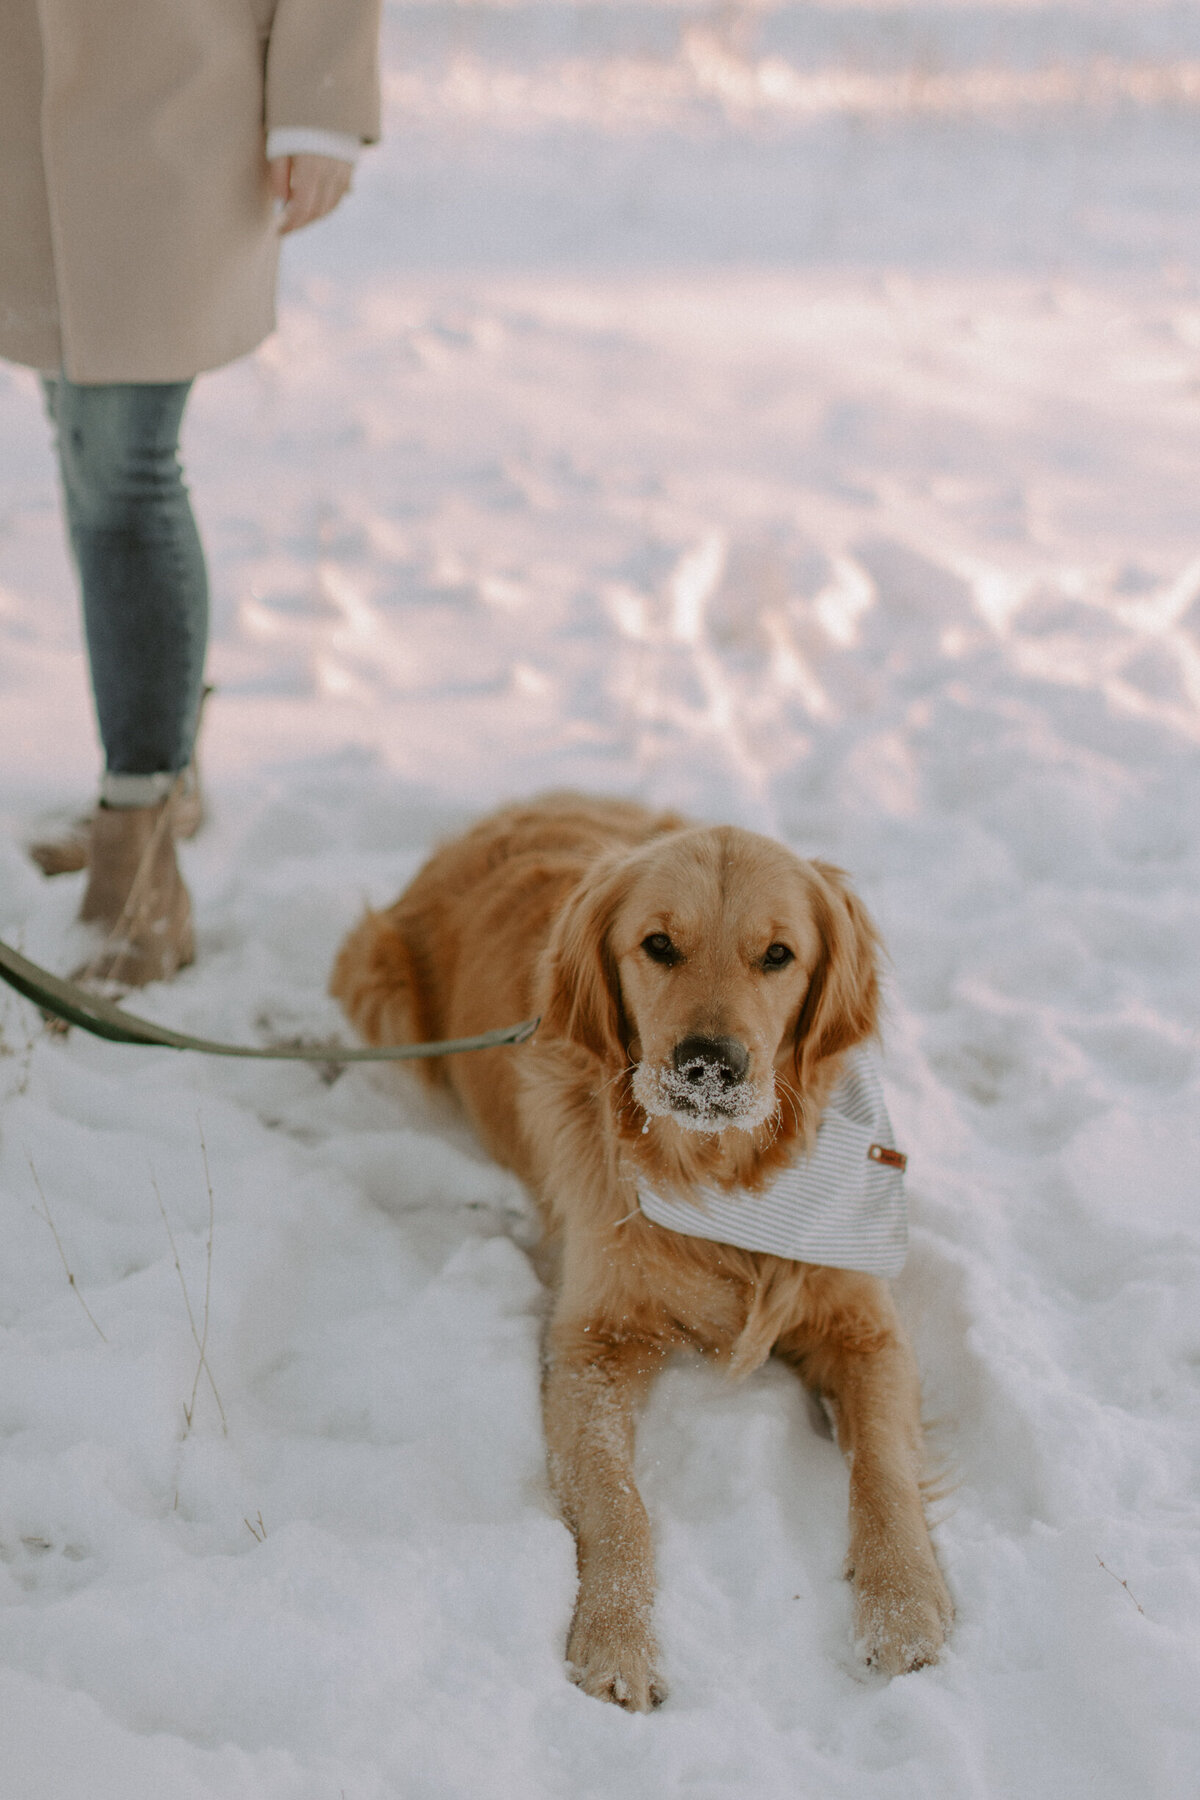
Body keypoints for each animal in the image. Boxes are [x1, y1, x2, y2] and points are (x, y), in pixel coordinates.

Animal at [329, 795, 949, 1706]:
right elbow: (619, 1504)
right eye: (658, 945)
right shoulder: (592, 1345)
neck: (723, 1181)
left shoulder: (867, 1324)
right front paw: (615, 1639)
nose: (709, 1067)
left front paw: (902, 1608)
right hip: (378, 979)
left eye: (778, 955)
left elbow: (884, 1471)